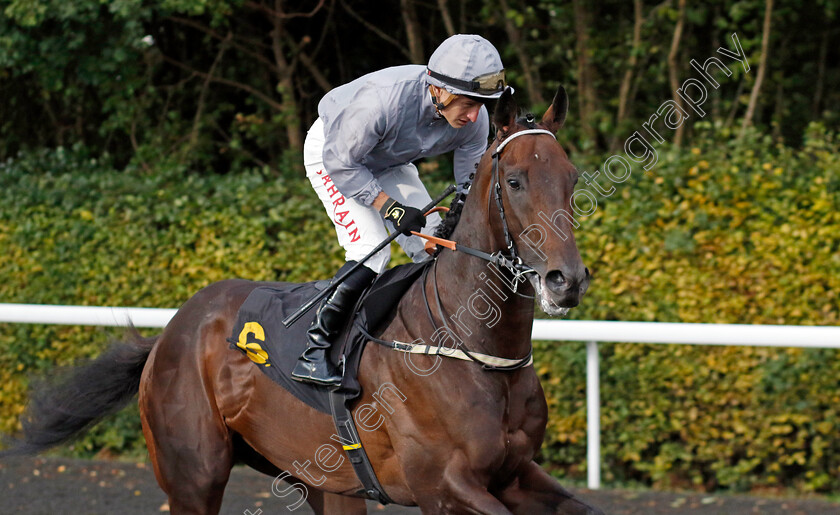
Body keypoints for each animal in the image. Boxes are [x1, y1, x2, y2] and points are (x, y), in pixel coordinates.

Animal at [4, 86, 596, 512]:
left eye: (571, 178)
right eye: (515, 180)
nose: (565, 280)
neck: (473, 347)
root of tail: (171, 332)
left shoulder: (515, 474)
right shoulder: (443, 486)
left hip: (321, 478)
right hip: (192, 475)